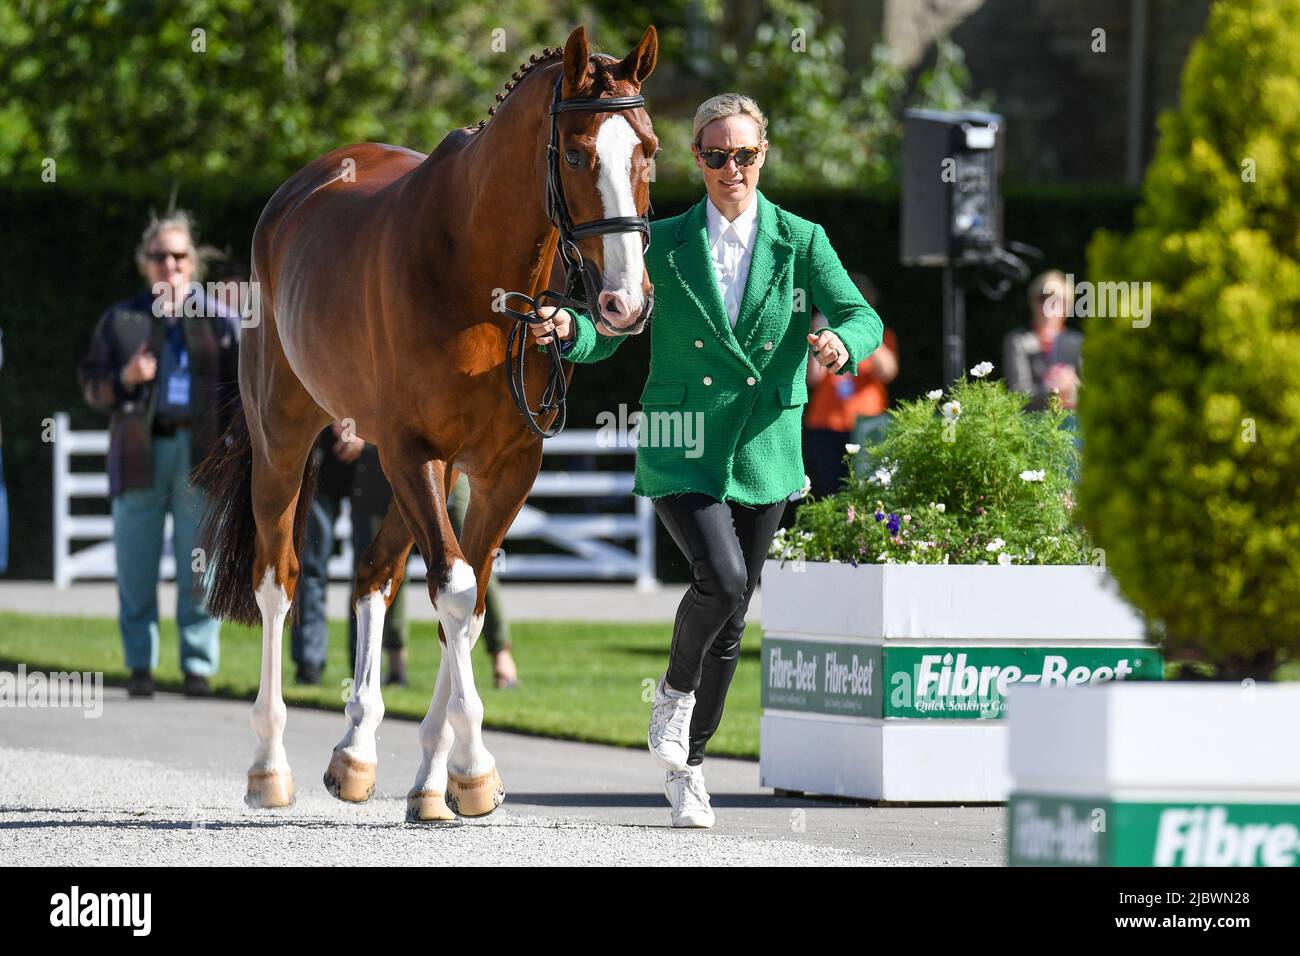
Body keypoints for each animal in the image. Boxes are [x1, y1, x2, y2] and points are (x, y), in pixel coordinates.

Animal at [195, 29, 660, 822]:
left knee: (376, 575)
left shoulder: (504, 467)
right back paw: (269, 767)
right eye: (576, 155)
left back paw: (355, 752)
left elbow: (465, 605)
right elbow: (455, 589)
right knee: (277, 582)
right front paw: (473, 768)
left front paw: (438, 781)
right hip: (285, 439)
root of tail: (295, 193)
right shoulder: (413, 452)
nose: (626, 303)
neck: (479, 274)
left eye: (649, 151)